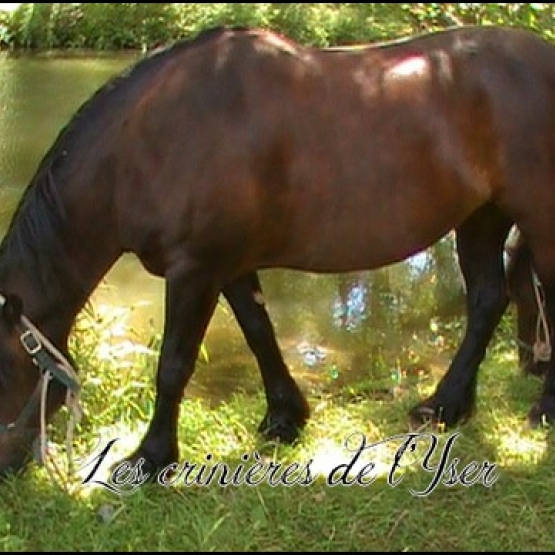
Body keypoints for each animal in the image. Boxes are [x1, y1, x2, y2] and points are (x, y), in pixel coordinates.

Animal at [0, 23, 555, 480]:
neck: (152, 141)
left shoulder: (195, 269)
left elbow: (174, 364)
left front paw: (151, 458)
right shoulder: (229, 266)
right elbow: (259, 332)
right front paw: (285, 417)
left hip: (537, 217)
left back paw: (542, 410)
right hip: (481, 217)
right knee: (487, 301)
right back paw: (444, 406)